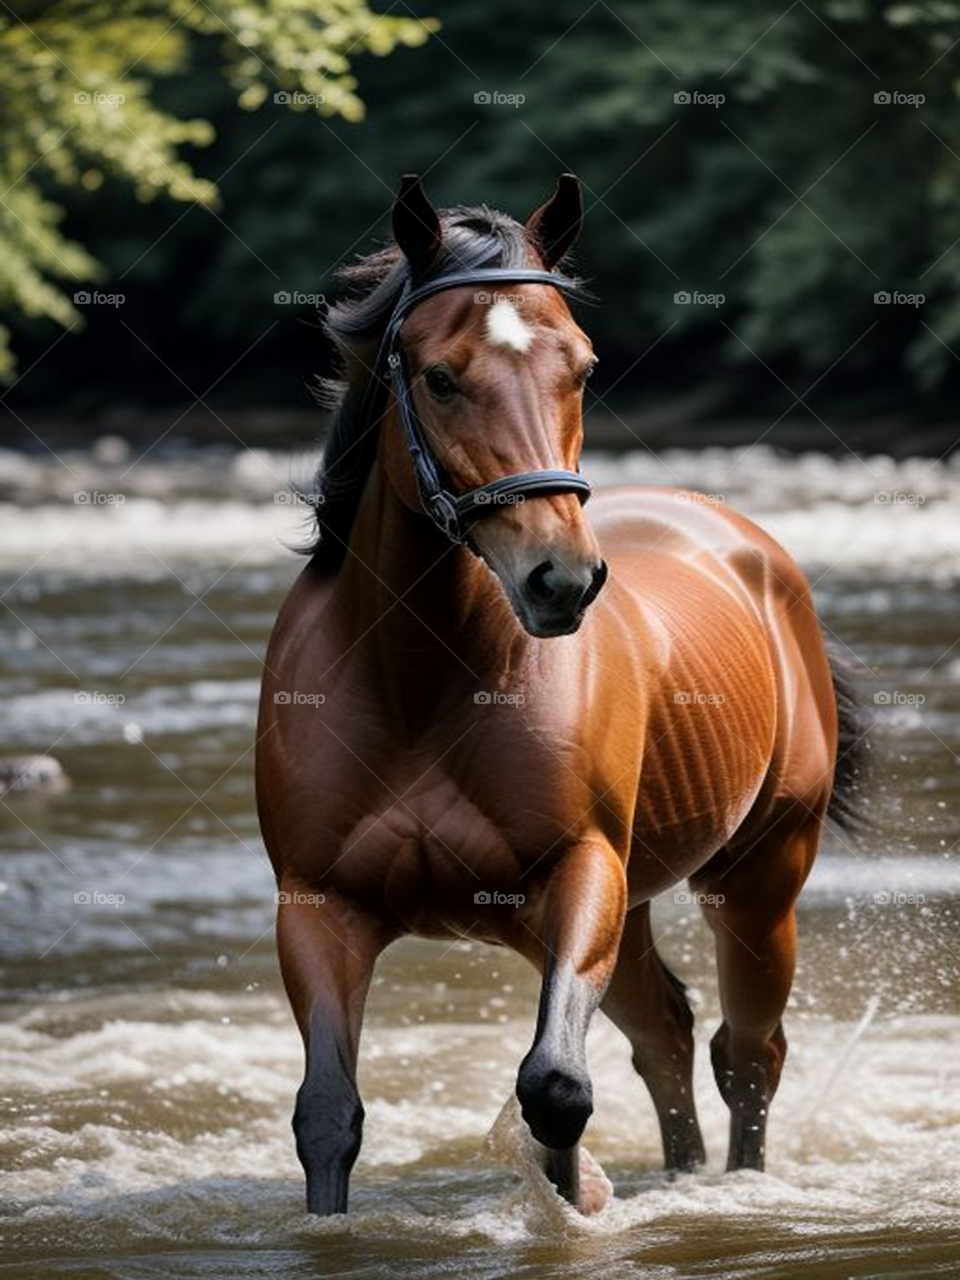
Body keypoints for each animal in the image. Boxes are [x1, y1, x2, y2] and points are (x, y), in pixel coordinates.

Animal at [255, 173, 867, 1216]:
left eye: (580, 366)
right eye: (439, 376)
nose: (563, 580)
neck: (421, 688)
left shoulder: (578, 874)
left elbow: (555, 1088)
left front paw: (572, 1214)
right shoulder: (319, 906)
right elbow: (328, 1115)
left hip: (759, 877)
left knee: (746, 1054)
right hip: (639, 901)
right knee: (665, 1033)